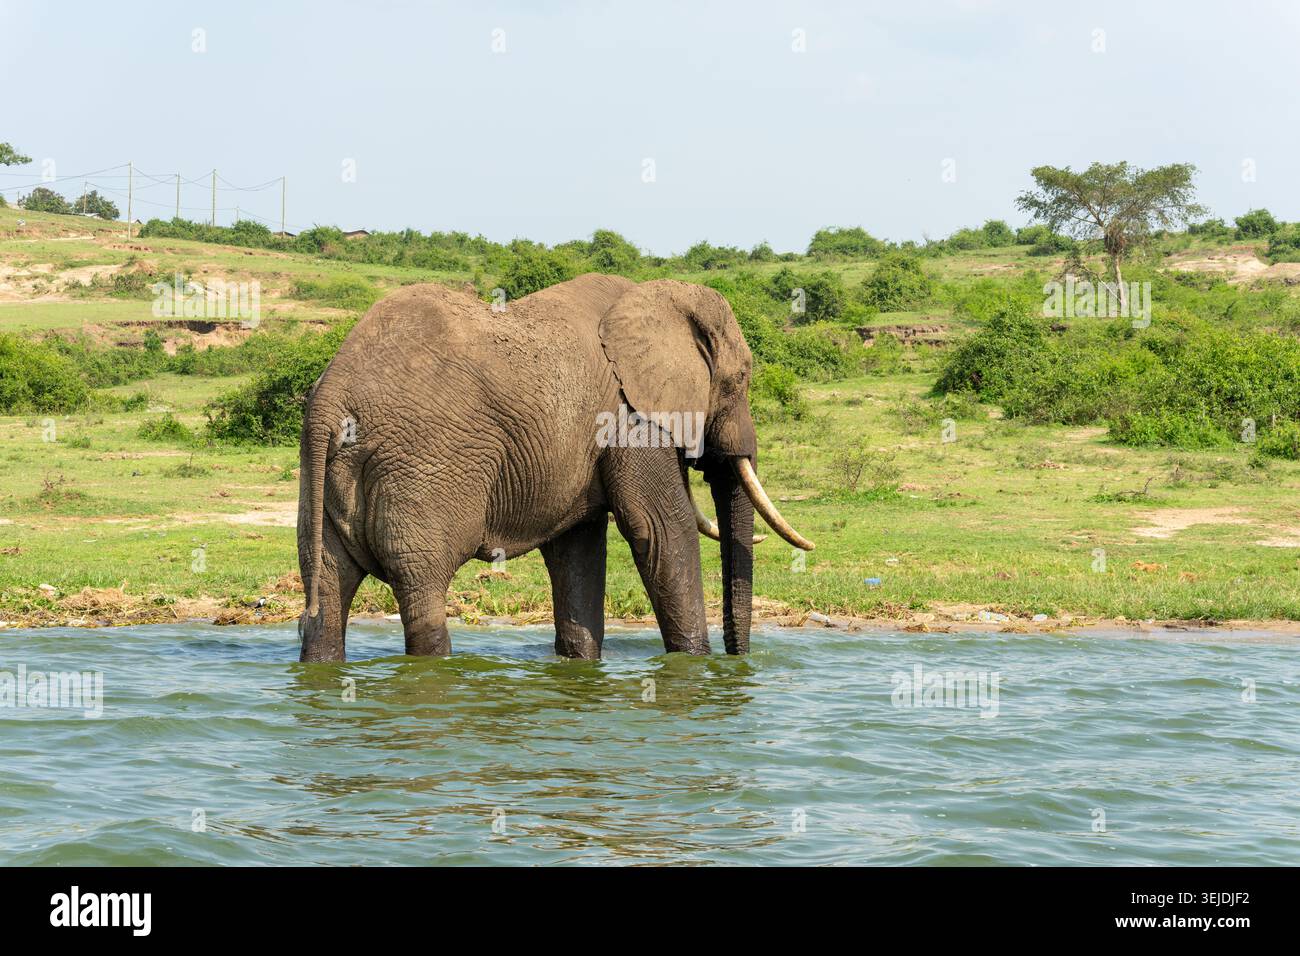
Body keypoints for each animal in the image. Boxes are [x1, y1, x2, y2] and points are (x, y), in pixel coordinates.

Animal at [296, 273, 814, 662]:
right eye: (741, 378)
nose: (738, 660)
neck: (656, 296)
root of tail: (333, 393)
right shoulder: (628, 417)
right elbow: (660, 529)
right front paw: (693, 663)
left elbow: (577, 550)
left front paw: (579, 665)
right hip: (421, 465)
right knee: (421, 587)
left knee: (325, 586)